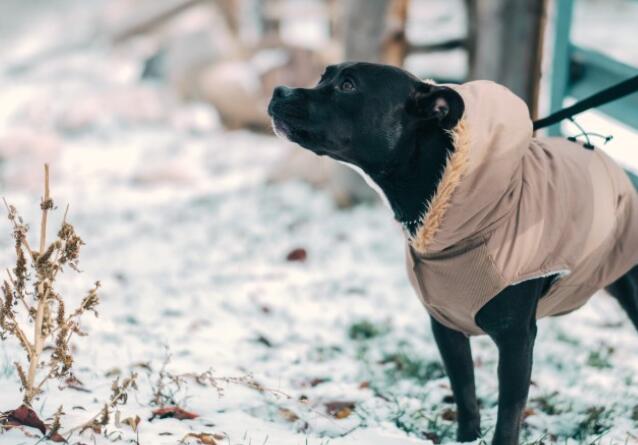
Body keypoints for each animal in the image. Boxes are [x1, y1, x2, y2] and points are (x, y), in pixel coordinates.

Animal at [268, 63, 638, 444]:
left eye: (347, 85)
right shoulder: (446, 328)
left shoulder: (516, 339)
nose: (280, 91)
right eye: (323, 77)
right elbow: (465, 394)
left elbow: (509, 414)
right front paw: (467, 437)